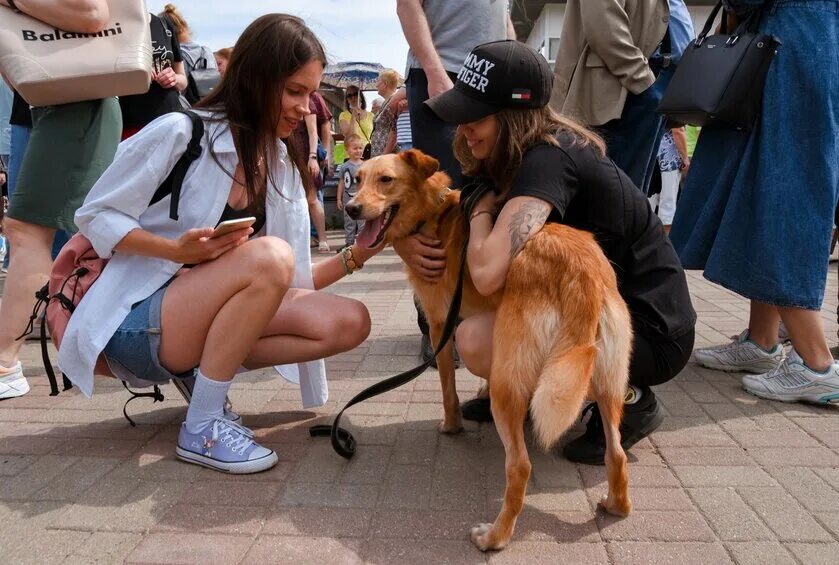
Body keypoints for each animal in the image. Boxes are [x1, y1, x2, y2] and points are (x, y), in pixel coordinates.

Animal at [344, 148, 632, 548]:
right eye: (357, 180)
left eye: (386, 179)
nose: (351, 208)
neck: (434, 214)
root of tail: (581, 274)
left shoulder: (442, 326)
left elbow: (447, 387)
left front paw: (451, 426)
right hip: (607, 382)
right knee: (616, 453)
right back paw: (616, 505)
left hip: (510, 386)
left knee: (520, 466)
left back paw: (494, 537)